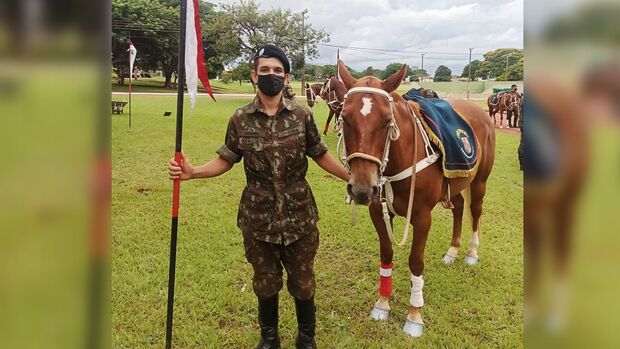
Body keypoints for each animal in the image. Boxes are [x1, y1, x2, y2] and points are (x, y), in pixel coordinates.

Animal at [336, 59, 496, 338]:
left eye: (387, 120)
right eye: (344, 118)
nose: (362, 189)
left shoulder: (422, 217)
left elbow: (415, 262)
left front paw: (414, 315)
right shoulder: (378, 211)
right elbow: (386, 253)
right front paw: (382, 303)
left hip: (479, 182)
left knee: (475, 211)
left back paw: (471, 253)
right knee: (459, 208)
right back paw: (453, 250)